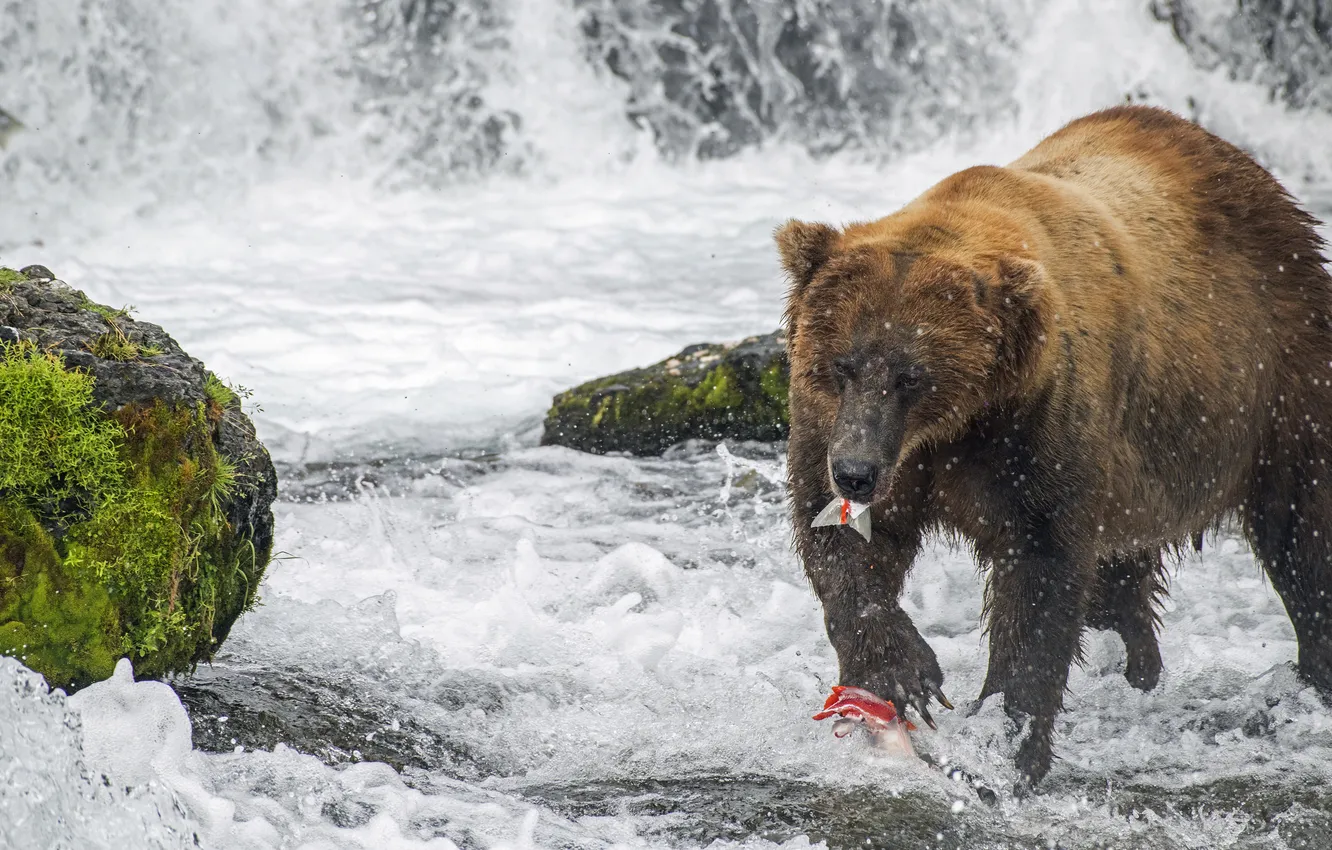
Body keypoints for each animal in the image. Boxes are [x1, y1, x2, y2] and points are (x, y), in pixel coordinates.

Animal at [775, 104, 1332, 789]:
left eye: (912, 376)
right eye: (842, 365)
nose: (855, 473)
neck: (960, 420)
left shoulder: (1036, 428)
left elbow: (1038, 574)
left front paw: (1002, 743)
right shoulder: (844, 429)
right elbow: (840, 542)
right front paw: (904, 675)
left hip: (1273, 380)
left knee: (1301, 533)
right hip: (1141, 471)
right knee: (1123, 580)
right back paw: (1138, 670)